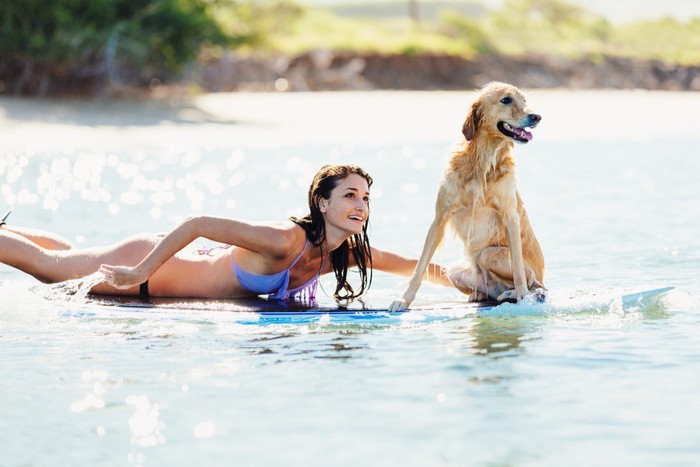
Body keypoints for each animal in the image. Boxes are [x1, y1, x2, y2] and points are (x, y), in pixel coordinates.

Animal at [392, 82, 544, 312]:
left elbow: (518, 269)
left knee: (537, 285)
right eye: (506, 100)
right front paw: (404, 299)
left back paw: (515, 293)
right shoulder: (440, 217)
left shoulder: (511, 216)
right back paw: (480, 295)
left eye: (524, 100)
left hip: (490, 254)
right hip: (455, 269)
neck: (483, 161)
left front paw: (522, 297)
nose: (536, 116)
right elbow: (419, 267)